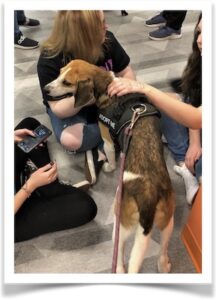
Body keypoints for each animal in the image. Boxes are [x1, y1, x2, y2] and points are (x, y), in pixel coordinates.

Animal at [44, 59, 175, 274]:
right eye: (59, 72)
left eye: (67, 82)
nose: (46, 89)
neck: (107, 85)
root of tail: (148, 196)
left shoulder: (106, 137)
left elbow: (110, 154)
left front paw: (109, 166)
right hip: (167, 222)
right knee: (163, 249)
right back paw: (163, 264)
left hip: (120, 224)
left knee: (120, 256)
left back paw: (119, 268)